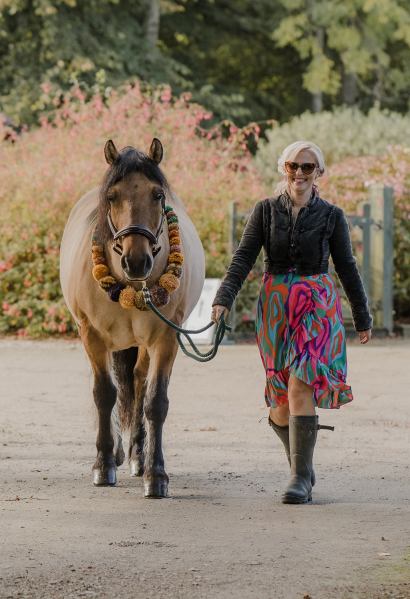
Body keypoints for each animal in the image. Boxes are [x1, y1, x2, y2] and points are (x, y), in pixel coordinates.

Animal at [60, 137, 205, 496]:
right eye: (112, 196)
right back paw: (114, 451)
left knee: (138, 384)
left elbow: (155, 401)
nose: (136, 261)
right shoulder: (92, 335)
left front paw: (156, 473)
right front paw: (103, 465)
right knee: (114, 386)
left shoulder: (166, 338)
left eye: (158, 195)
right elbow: (104, 394)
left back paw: (138, 454)